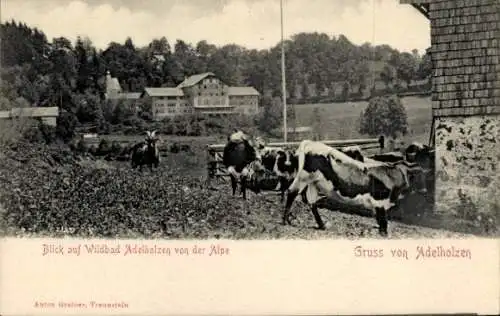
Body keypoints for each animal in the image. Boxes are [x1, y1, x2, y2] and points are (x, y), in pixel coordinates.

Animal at [284, 139, 428, 236]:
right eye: (418, 176)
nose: (425, 190)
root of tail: (311, 143)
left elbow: (380, 219)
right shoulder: (380, 201)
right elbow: (383, 220)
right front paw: (384, 234)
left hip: (313, 183)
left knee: (312, 203)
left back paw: (322, 225)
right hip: (304, 177)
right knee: (291, 193)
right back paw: (286, 220)